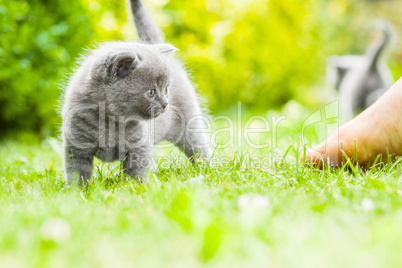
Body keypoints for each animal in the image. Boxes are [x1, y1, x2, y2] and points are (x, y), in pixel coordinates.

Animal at [61, 0, 212, 184]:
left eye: (166, 89)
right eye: (150, 93)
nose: (165, 104)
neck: (110, 122)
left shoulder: (139, 146)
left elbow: (138, 170)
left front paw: (139, 187)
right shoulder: (76, 146)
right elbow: (77, 173)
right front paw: (78, 190)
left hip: (188, 120)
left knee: (197, 145)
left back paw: (208, 168)